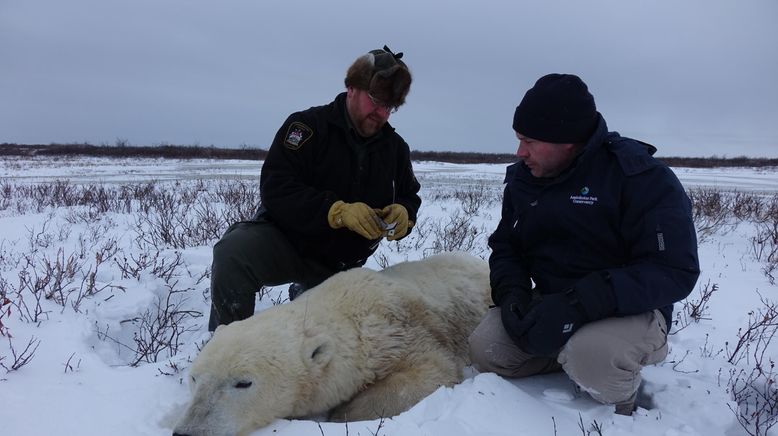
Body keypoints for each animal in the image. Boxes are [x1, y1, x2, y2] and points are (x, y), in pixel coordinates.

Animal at [174, 252, 492, 436]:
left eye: (243, 383)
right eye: (194, 378)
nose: (188, 432)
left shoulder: (401, 330)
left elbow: (432, 371)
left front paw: (340, 415)